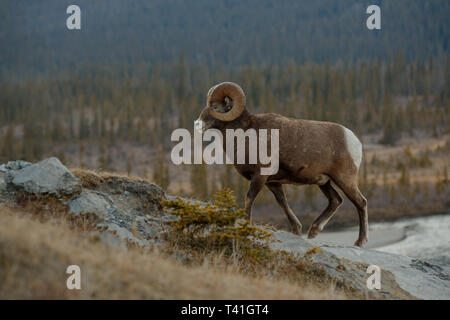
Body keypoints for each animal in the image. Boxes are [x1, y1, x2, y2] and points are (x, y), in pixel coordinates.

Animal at [195, 82, 368, 245]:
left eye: (215, 107)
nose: (197, 124)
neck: (246, 134)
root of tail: (354, 140)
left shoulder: (259, 177)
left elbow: (249, 198)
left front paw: (245, 227)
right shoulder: (272, 182)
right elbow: (282, 202)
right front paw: (296, 230)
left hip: (344, 179)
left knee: (360, 202)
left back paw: (359, 242)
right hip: (324, 182)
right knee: (335, 200)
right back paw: (313, 232)